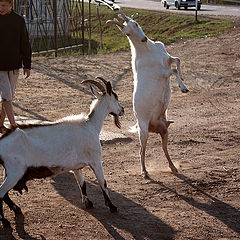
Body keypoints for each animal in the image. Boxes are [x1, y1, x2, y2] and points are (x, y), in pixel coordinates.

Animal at [0, 77, 124, 227]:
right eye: (116, 97)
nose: (122, 110)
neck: (90, 125)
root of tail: (2, 139)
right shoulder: (95, 160)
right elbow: (103, 182)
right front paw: (112, 206)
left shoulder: (76, 167)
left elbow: (82, 184)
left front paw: (88, 203)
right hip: (15, 172)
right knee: (0, 193)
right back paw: (5, 220)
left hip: (9, 172)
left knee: (4, 194)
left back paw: (16, 209)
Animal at [107, 8, 189, 178]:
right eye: (126, 33)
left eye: (136, 24)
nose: (144, 39)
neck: (147, 50)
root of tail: (152, 127)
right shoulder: (163, 73)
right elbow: (174, 70)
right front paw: (183, 88)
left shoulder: (167, 58)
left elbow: (177, 60)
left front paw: (184, 83)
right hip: (143, 132)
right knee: (141, 150)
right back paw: (144, 172)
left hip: (165, 130)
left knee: (164, 148)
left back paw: (173, 168)